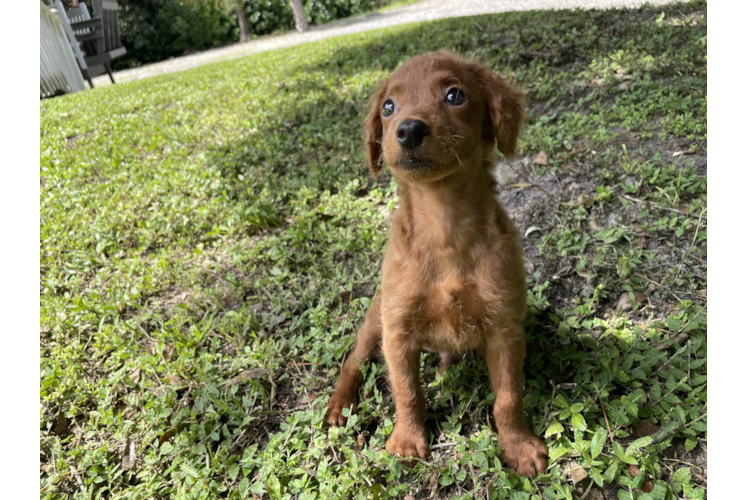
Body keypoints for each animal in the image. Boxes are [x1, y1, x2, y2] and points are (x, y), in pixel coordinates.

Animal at [324, 50, 548, 476]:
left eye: (455, 95)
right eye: (389, 107)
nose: (409, 130)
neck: (443, 224)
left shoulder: (505, 330)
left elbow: (508, 397)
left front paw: (519, 445)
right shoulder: (397, 333)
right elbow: (407, 392)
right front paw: (407, 440)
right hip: (375, 320)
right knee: (353, 361)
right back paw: (339, 405)